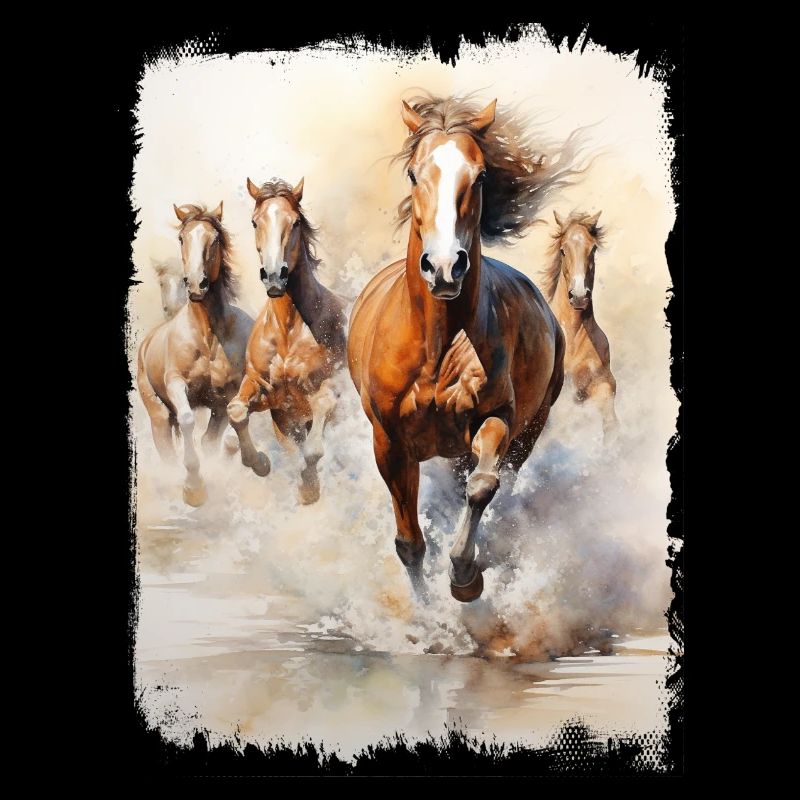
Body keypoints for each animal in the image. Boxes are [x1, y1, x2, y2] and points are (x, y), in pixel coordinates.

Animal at [137, 202, 258, 506]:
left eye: (214, 239)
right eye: (182, 238)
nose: (196, 284)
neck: (207, 336)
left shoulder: (226, 397)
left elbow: (226, 430)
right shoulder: (176, 384)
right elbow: (188, 420)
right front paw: (194, 487)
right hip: (158, 414)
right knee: (168, 448)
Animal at [227, 178, 347, 504]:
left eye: (294, 222)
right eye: (255, 222)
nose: (273, 276)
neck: (288, 331)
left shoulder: (327, 388)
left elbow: (314, 447)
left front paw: (309, 488)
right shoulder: (268, 394)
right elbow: (236, 411)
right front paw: (258, 462)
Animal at [348, 93, 587, 602]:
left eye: (479, 176)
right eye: (413, 173)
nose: (444, 267)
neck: (437, 348)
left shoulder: (497, 418)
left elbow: (482, 485)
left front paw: (464, 576)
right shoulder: (389, 442)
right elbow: (409, 543)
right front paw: (426, 614)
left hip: (530, 427)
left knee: (496, 480)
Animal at [543, 210, 619, 443]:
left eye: (592, 249)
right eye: (563, 250)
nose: (578, 296)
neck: (572, 335)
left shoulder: (601, 383)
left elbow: (611, 422)